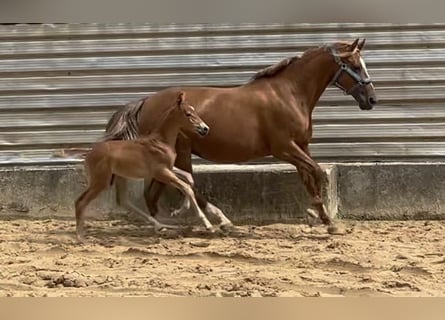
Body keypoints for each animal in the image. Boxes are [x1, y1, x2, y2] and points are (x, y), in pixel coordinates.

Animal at [73, 91, 212, 241]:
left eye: (194, 111)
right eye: (188, 114)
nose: (205, 128)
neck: (160, 141)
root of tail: (89, 154)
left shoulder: (167, 169)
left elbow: (188, 179)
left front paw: (179, 210)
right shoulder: (161, 172)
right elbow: (186, 186)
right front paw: (207, 224)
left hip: (119, 177)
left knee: (123, 201)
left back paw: (160, 225)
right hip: (101, 182)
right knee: (81, 201)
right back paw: (80, 236)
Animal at [103, 39, 374, 235]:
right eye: (356, 66)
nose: (371, 99)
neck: (289, 93)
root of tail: (145, 101)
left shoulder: (301, 147)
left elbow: (310, 178)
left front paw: (326, 221)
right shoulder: (284, 147)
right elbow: (317, 172)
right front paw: (313, 214)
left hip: (170, 156)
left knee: (155, 194)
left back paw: (171, 225)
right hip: (179, 153)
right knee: (182, 187)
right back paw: (215, 221)